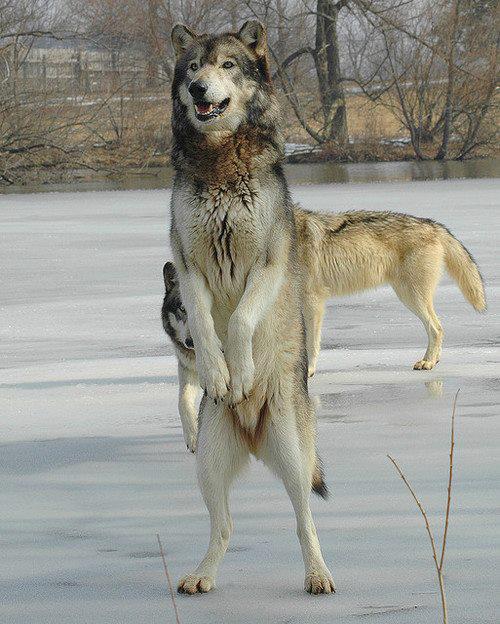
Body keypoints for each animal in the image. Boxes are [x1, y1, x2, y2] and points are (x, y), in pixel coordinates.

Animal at [168, 20, 332, 596]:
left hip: (293, 452)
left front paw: (239, 373)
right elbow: (204, 322)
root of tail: (253, 433)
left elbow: (239, 320)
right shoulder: (188, 263)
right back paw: (200, 576)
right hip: (208, 464)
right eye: (193, 67)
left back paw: (318, 576)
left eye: (228, 65)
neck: (220, 161)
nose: (199, 89)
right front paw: (219, 374)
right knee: (225, 525)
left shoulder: (268, 259)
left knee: (305, 519)